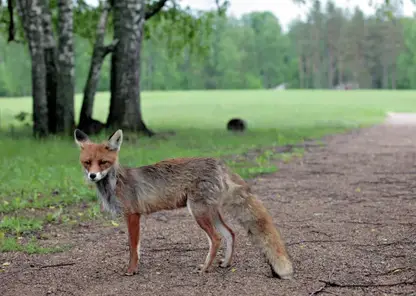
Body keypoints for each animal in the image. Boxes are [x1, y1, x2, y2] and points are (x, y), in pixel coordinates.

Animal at [73, 128, 294, 278]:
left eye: (103, 162)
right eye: (87, 162)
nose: (92, 176)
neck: (115, 183)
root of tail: (218, 163)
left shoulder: (133, 215)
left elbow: (132, 247)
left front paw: (131, 270)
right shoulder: (134, 217)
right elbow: (136, 248)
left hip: (198, 212)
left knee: (216, 238)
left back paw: (205, 268)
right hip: (210, 212)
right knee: (230, 233)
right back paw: (225, 264)